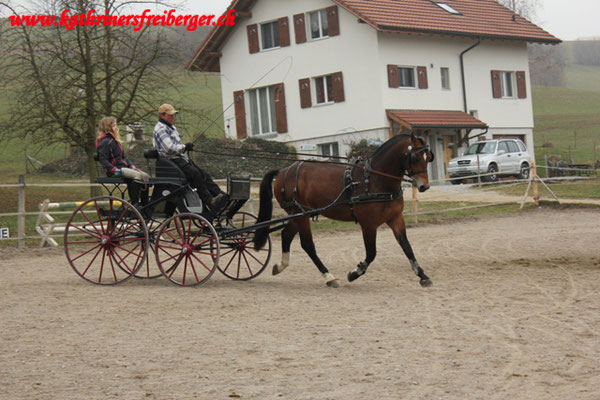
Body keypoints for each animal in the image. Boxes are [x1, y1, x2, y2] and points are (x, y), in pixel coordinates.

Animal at [253, 134, 436, 288]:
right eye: (414, 157)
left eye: (428, 157)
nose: (424, 186)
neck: (374, 180)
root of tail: (283, 171)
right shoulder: (368, 225)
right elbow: (371, 253)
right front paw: (355, 273)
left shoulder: (395, 218)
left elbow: (407, 246)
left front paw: (422, 275)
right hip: (301, 214)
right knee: (307, 244)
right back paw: (328, 276)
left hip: (298, 214)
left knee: (286, 235)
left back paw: (280, 266)